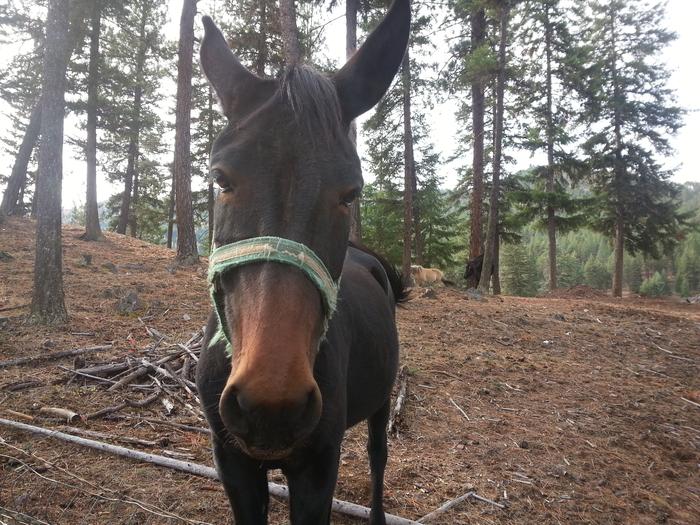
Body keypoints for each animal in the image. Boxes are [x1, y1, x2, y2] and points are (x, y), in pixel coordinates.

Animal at [194, 1, 410, 524]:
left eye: (350, 193)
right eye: (221, 178)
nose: (272, 404)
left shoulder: (317, 468)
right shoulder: (232, 462)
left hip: (380, 403)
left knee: (377, 455)